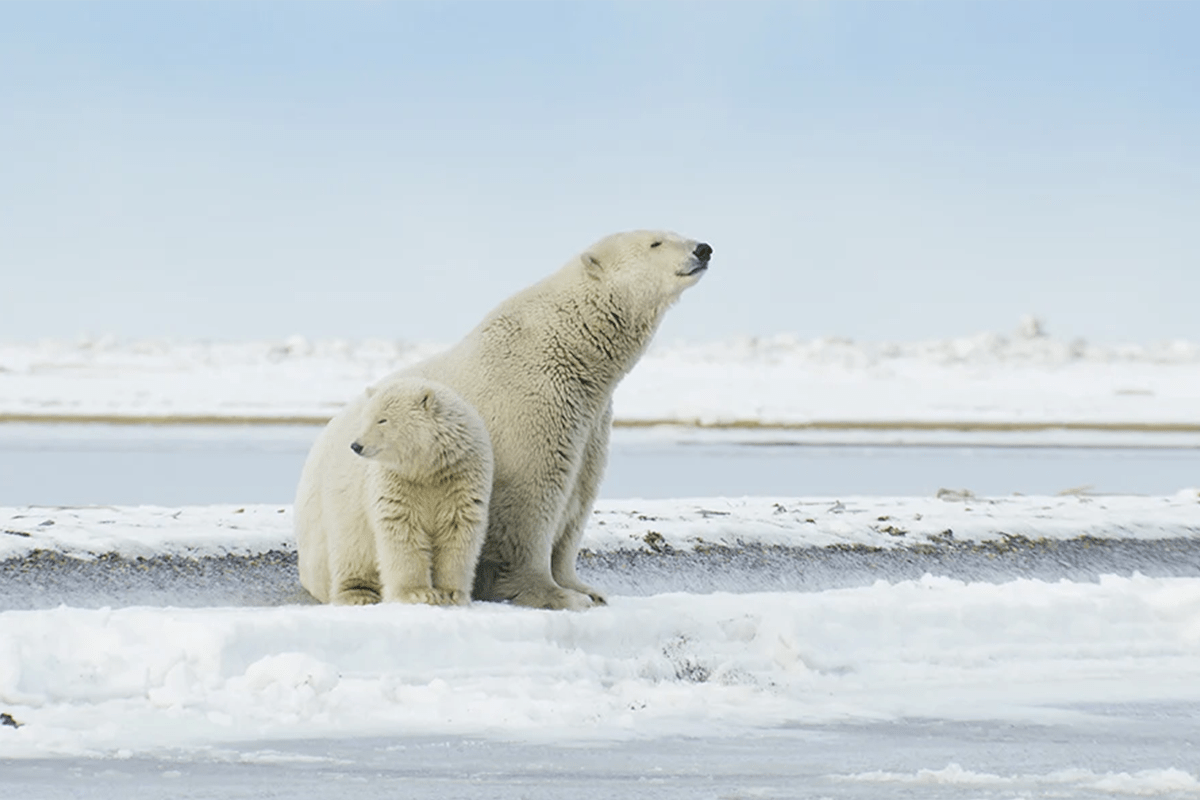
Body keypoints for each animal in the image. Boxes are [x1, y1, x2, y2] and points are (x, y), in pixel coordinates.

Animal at [295, 376, 493, 606]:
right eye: (366, 419)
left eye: (382, 420)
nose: (356, 445)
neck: (428, 469)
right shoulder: (395, 482)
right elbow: (402, 528)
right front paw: (418, 593)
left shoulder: (460, 478)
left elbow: (458, 529)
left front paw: (451, 593)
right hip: (346, 501)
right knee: (351, 547)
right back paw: (358, 593)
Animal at [368, 229, 711, 610]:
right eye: (656, 243)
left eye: (677, 234)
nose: (703, 250)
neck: (570, 346)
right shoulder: (533, 404)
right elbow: (531, 499)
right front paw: (555, 594)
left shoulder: (590, 421)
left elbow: (579, 497)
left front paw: (586, 589)